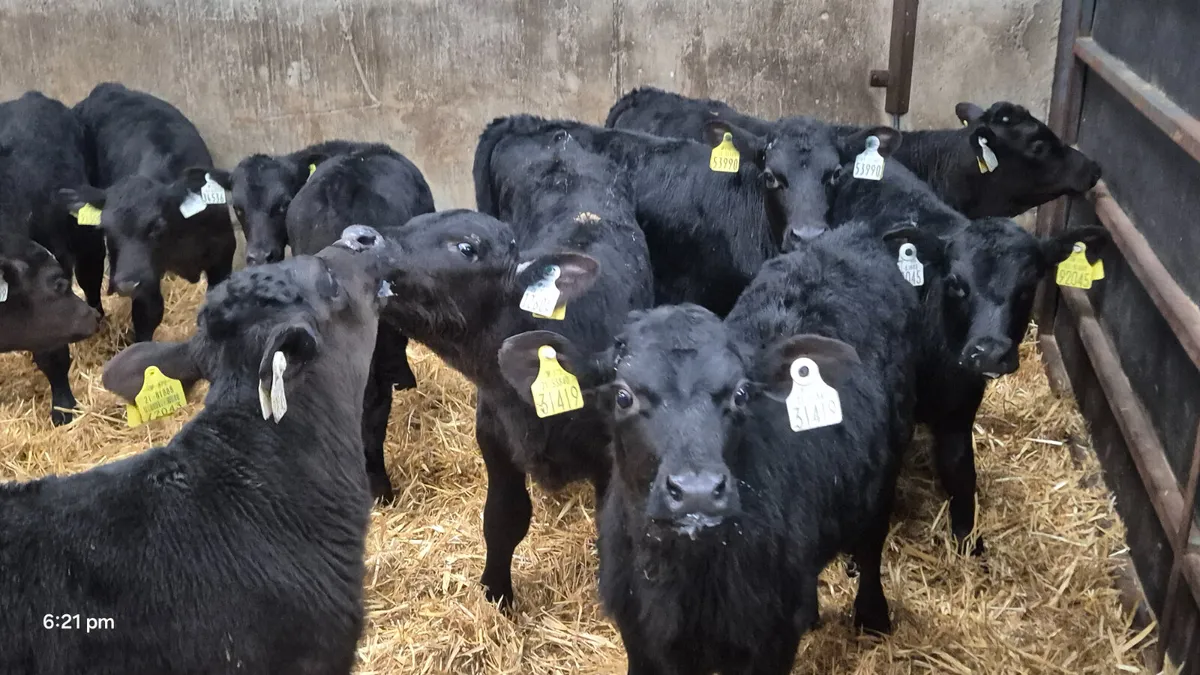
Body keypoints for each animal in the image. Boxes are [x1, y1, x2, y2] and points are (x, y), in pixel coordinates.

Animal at [59, 83, 235, 343]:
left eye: (157, 226)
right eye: (106, 229)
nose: (126, 284)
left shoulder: (222, 255)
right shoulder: (145, 277)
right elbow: (147, 316)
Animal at [367, 138, 652, 606]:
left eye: (466, 247)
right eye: (411, 222)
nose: (360, 237)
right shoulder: (494, 436)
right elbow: (503, 518)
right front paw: (495, 594)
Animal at [498, 222, 927, 672]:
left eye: (741, 394)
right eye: (623, 396)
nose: (697, 492)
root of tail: (852, 234)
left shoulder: (770, 643)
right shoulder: (640, 637)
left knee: (873, 542)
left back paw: (873, 616)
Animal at [824, 153, 1109, 554]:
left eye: (1028, 286)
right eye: (956, 283)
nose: (989, 352)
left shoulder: (960, 410)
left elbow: (961, 472)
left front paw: (969, 543)